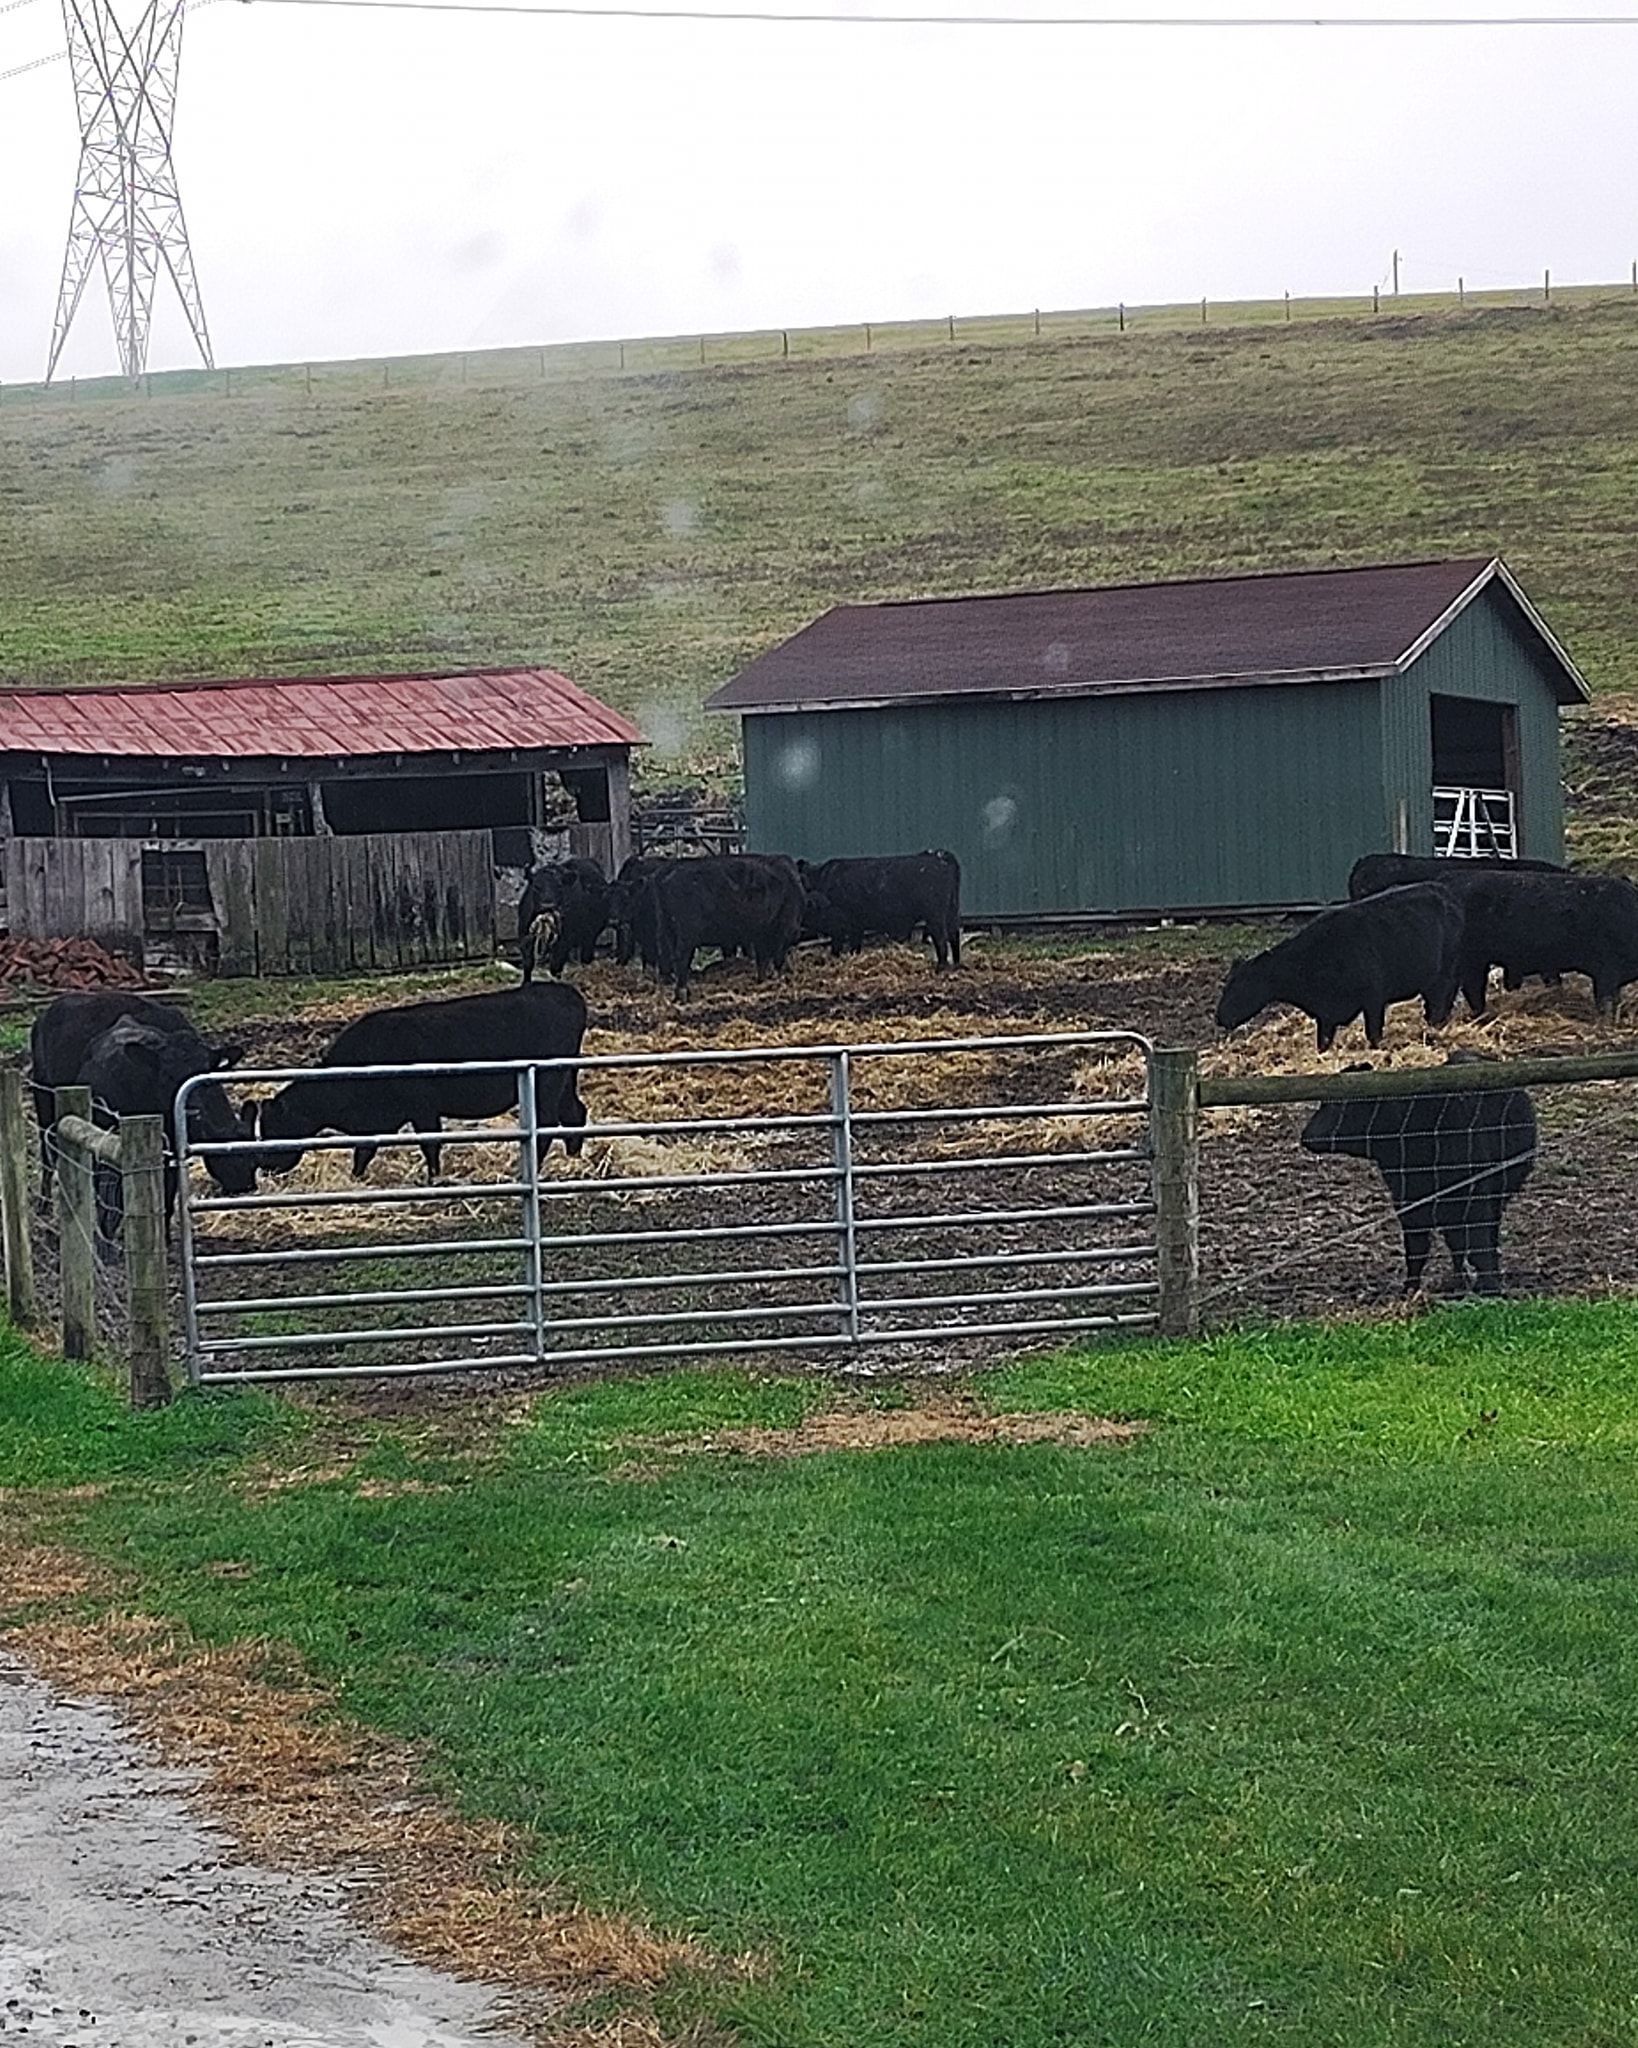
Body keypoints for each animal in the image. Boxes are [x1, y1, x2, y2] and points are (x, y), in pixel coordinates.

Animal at [256, 982, 589, 1183]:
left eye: (276, 1128)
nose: (266, 1167)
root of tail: (563, 992)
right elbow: (365, 1150)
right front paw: (356, 1178)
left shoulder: (423, 1108)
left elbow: (430, 1143)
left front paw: (434, 1178)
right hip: (563, 1081)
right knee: (574, 1112)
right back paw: (574, 1160)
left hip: (547, 1082)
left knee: (547, 1124)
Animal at [651, 854, 805, 998]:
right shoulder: (782, 929)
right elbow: (775, 957)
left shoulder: (762, 934)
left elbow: (763, 959)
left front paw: (762, 980)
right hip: (686, 932)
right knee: (681, 957)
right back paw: (683, 992)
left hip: (666, 929)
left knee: (666, 954)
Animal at [797, 851, 962, 969]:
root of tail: (940, 855)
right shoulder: (856, 926)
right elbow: (855, 947)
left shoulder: (839, 926)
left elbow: (837, 947)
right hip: (952, 911)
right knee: (954, 936)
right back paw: (957, 964)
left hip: (935, 916)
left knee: (941, 939)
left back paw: (941, 967)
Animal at [1215, 883, 1465, 1052]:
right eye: (1226, 986)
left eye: (1241, 986)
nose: (1219, 1017)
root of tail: (1444, 891)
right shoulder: (1325, 1015)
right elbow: (1323, 1043)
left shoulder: (1373, 999)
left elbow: (1374, 1035)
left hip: (1445, 970)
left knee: (1444, 995)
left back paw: (1436, 1025)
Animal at [1301, 1052, 1537, 1295]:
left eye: (1338, 1105)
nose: (1306, 1136)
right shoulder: (1408, 1202)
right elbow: (1417, 1249)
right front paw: (1411, 1288)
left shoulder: (1474, 1194)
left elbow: (1479, 1242)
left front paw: (1490, 1286)